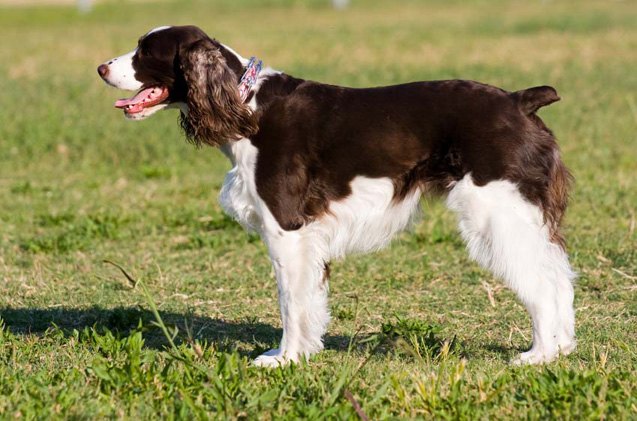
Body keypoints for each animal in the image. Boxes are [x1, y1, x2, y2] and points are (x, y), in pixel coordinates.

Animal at [98, 25, 576, 364]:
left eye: (145, 51)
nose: (101, 67)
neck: (247, 106)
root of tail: (518, 100)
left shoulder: (287, 229)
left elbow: (290, 302)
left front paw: (286, 359)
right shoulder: (308, 238)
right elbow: (310, 300)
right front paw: (303, 353)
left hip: (496, 212)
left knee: (540, 282)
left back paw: (539, 355)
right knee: (559, 276)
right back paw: (562, 347)